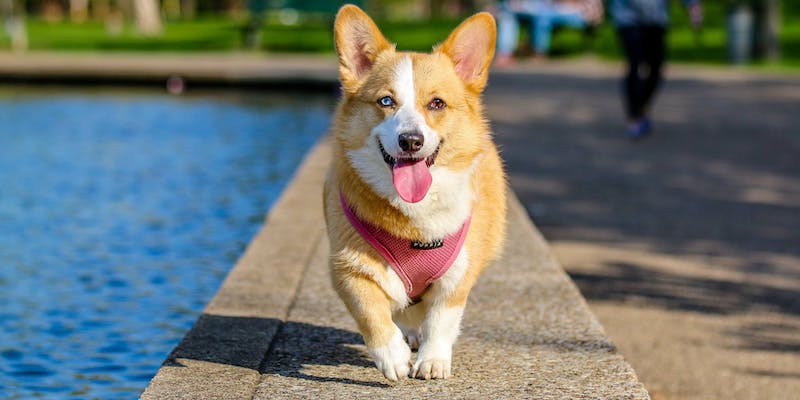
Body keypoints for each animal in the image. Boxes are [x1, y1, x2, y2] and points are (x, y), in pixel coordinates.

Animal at [324, 4, 506, 382]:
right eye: (386, 101)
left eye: (436, 103)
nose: (411, 141)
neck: (414, 217)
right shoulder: (347, 268)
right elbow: (371, 313)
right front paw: (392, 356)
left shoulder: (458, 275)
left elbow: (441, 320)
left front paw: (432, 361)